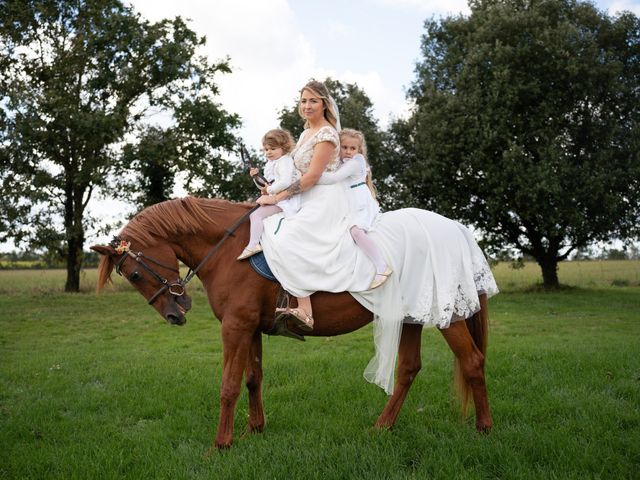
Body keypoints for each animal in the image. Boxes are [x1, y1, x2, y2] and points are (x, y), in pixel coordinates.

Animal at [90, 196, 492, 450]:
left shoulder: (235, 327)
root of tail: (457, 230)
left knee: (472, 362)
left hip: (446, 316)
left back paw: (484, 428)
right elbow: (253, 379)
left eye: (135, 274)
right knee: (409, 369)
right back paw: (381, 427)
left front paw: (221, 444)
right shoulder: (251, 328)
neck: (230, 249)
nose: (175, 314)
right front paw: (253, 431)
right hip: (410, 315)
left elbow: (228, 387)